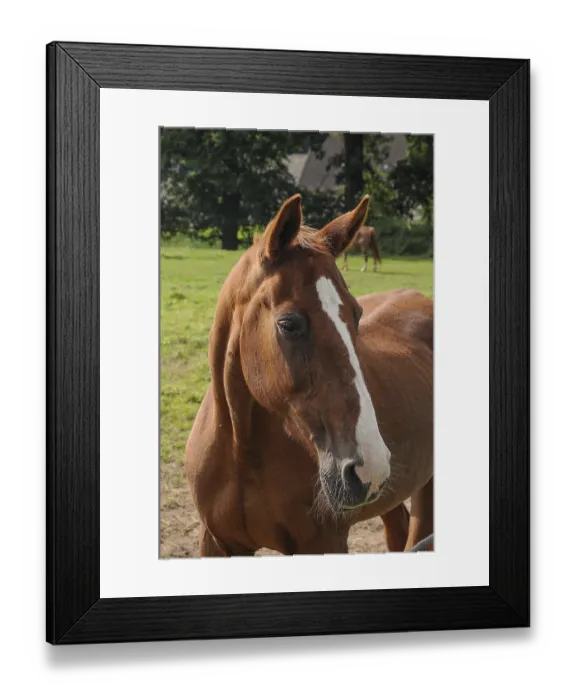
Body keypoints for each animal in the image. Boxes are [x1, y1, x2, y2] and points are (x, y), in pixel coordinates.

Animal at [184, 194, 433, 556]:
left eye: (356, 314)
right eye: (288, 324)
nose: (369, 467)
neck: (241, 452)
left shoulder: (323, 543)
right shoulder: (217, 543)